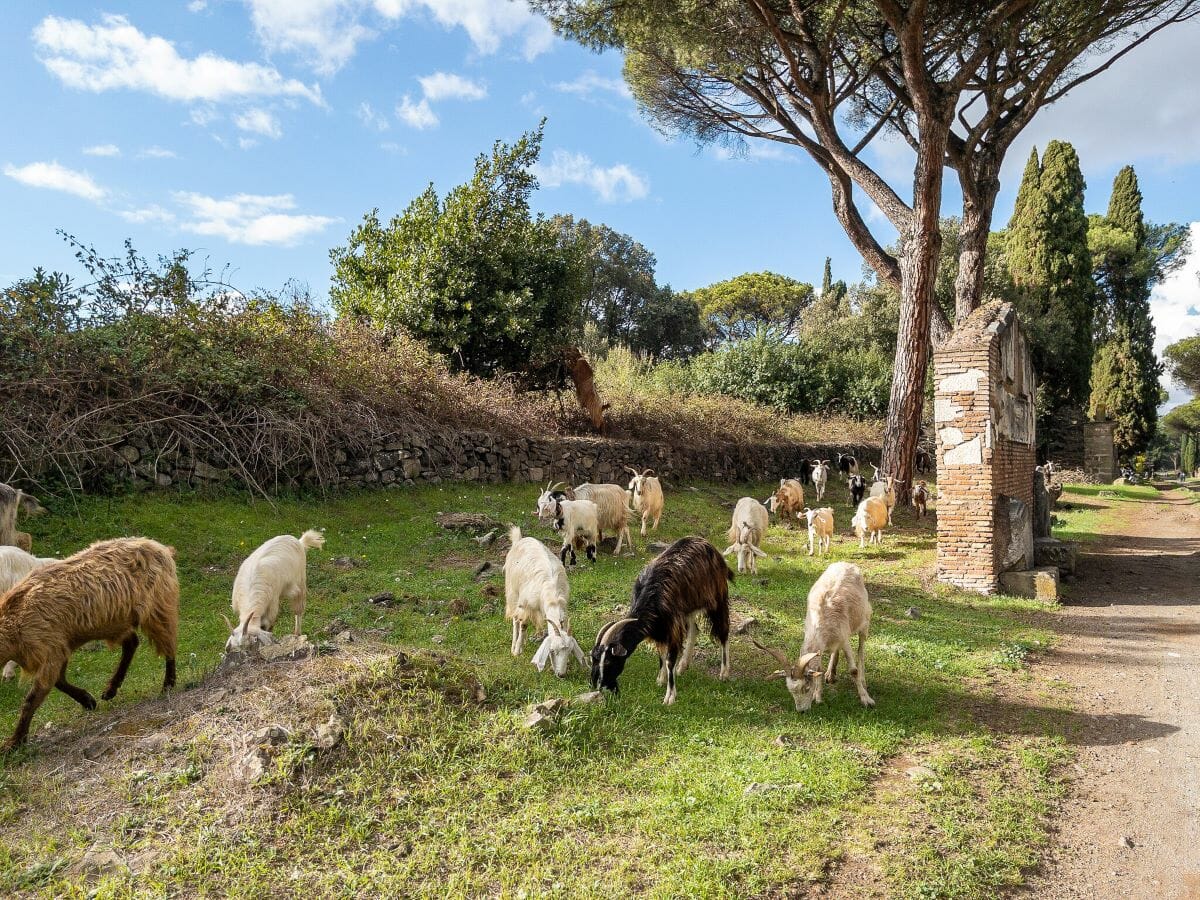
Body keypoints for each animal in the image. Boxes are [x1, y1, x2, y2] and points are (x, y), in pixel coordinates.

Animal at [0, 535, 177, 753]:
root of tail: (158, 547)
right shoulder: (59, 647)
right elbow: (59, 681)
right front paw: (88, 701)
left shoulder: (50, 649)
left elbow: (32, 698)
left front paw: (14, 742)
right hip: (115, 621)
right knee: (132, 643)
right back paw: (110, 689)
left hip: (157, 607)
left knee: (168, 645)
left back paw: (168, 684)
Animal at [501, 525, 585, 681]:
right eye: (552, 650)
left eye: (570, 651)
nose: (561, 674)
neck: (552, 597)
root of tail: (520, 540)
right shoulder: (526, 605)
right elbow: (523, 625)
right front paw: (517, 651)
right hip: (513, 592)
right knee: (515, 619)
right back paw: (515, 645)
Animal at [588, 535, 729, 705]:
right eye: (594, 659)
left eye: (610, 661)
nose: (598, 685)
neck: (652, 596)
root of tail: (708, 544)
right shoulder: (660, 628)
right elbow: (661, 655)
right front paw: (661, 679)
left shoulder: (672, 626)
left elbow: (669, 660)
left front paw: (670, 697)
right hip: (688, 608)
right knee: (694, 629)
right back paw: (683, 666)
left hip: (717, 598)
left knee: (723, 631)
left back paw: (724, 673)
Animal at [753, 561, 878, 715]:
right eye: (791, 691)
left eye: (806, 688)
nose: (801, 711)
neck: (820, 623)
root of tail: (846, 563)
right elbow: (819, 669)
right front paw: (818, 697)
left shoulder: (845, 638)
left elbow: (853, 670)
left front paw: (867, 700)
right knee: (835, 651)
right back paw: (830, 674)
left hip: (865, 621)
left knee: (861, 649)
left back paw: (863, 680)